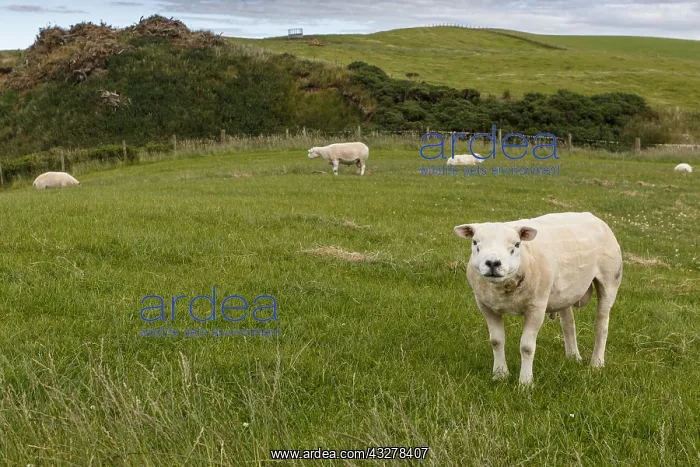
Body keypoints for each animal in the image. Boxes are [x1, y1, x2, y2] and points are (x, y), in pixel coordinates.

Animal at [453, 212, 622, 386]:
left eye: (517, 244)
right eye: (475, 242)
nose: (493, 263)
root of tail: (591, 215)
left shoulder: (536, 308)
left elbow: (527, 347)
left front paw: (526, 382)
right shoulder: (486, 306)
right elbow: (496, 341)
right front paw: (500, 374)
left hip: (610, 279)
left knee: (601, 325)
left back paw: (597, 363)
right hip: (565, 293)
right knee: (568, 323)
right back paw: (573, 357)